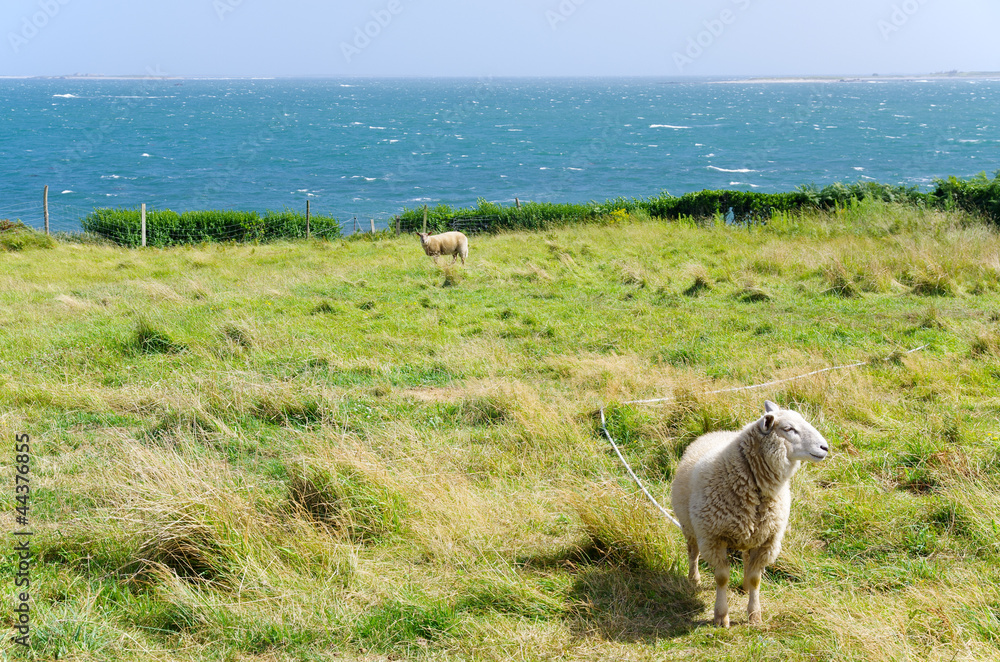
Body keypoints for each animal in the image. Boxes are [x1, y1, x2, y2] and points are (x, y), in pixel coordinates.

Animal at [670, 400, 828, 627]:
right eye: (788, 429)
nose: (825, 447)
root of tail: (717, 431)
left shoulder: (767, 541)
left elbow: (756, 578)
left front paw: (754, 614)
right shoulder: (713, 538)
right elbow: (722, 578)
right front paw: (721, 616)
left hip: (754, 533)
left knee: (745, 559)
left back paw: (744, 586)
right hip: (690, 526)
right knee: (693, 553)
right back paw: (694, 579)